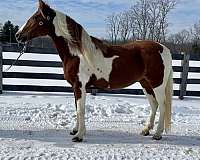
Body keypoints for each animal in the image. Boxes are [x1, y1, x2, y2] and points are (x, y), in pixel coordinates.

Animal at [15, 0, 173, 142]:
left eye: (36, 18)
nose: (18, 35)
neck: (77, 53)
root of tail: (164, 48)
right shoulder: (76, 87)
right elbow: (77, 108)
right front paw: (75, 130)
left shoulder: (80, 86)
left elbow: (80, 110)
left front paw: (79, 136)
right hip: (145, 84)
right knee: (154, 105)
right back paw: (146, 130)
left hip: (157, 85)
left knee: (163, 105)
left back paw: (157, 134)